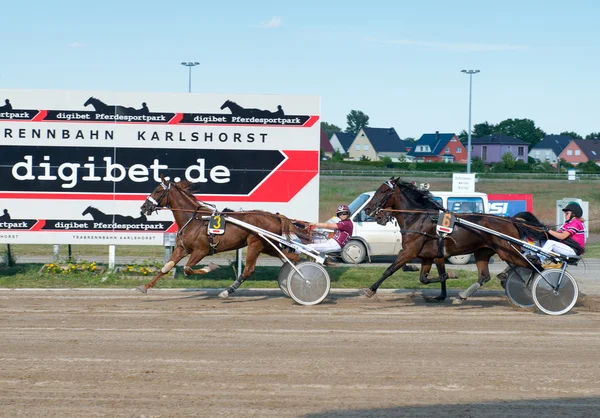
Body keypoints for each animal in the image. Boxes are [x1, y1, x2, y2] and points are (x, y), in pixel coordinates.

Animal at [139, 176, 312, 298]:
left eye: (157, 190)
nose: (143, 207)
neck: (194, 219)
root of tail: (274, 216)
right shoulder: (182, 248)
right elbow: (166, 267)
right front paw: (144, 287)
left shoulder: (201, 251)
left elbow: (188, 269)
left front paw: (211, 267)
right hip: (268, 245)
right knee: (292, 257)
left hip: (255, 244)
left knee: (248, 270)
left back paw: (227, 291)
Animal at [358, 177, 548, 304]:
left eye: (383, 191)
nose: (367, 209)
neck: (418, 219)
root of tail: (510, 220)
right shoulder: (427, 256)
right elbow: (426, 278)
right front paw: (443, 286)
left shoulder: (409, 251)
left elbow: (389, 270)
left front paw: (370, 290)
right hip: (484, 251)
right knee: (485, 276)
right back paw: (464, 295)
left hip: (507, 251)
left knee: (535, 264)